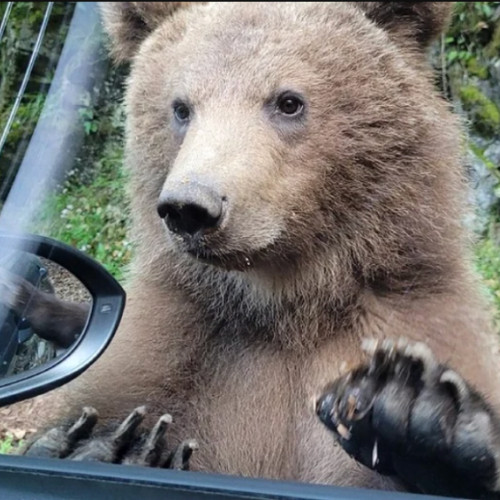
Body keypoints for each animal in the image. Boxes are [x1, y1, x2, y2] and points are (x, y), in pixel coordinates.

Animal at [11, 1, 500, 498]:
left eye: (288, 101)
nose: (191, 207)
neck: (287, 303)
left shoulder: (414, 313)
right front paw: (109, 445)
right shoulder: (176, 344)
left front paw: (412, 411)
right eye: (181, 107)